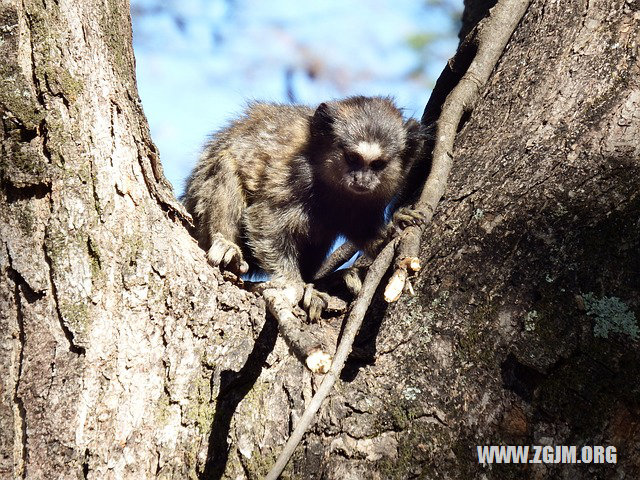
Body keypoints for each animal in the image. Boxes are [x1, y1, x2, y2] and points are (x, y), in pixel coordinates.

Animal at [182, 95, 428, 316]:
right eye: (352, 158)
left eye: (378, 164)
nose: (362, 180)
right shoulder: (297, 175)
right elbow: (264, 219)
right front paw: (294, 283)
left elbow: (363, 230)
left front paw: (394, 228)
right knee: (224, 165)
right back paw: (228, 247)